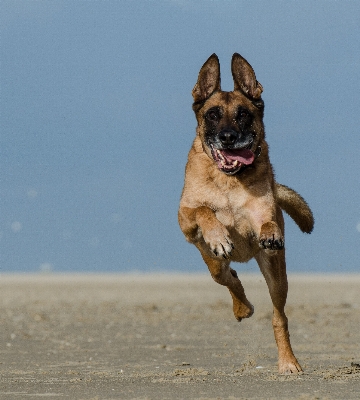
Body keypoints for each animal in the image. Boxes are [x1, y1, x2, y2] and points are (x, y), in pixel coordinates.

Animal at [179, 53, 314, 376]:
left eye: (243, 115)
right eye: (213, 115)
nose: (228, 137)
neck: (230, 178)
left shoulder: (263, 212)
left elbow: (267, 221)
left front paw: (270, 233)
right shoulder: (184, 217)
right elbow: (204, 209)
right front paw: (218, 235)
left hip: (277, 276)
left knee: (279, 316)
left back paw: (288, 362)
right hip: (213, 264)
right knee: (228, 277)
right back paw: (242, 306)